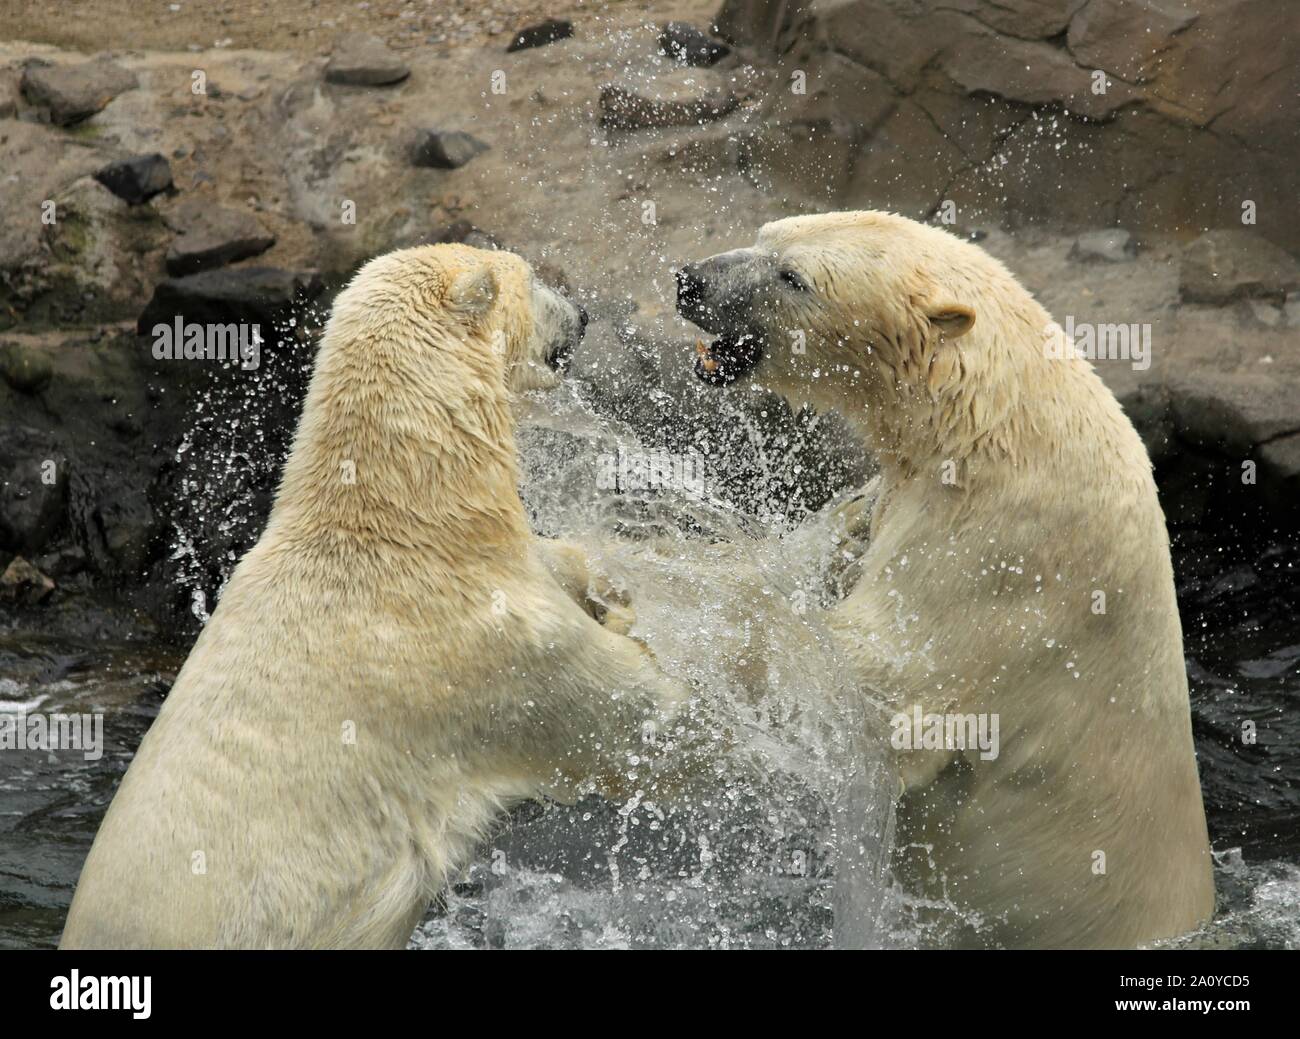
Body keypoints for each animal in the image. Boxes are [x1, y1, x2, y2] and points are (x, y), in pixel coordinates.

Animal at [63, 244, 691, 951]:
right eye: (531, 277)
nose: (583, 316)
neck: (398, 520)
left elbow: (560, 567)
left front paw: (613, 590)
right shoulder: (490, 654)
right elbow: (634, 714)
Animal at [676, 210, 1211, 951]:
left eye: (793, 277)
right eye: (765, 233)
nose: (689, 281)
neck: (988, 427)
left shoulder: (997, 559)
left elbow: (869, 676)